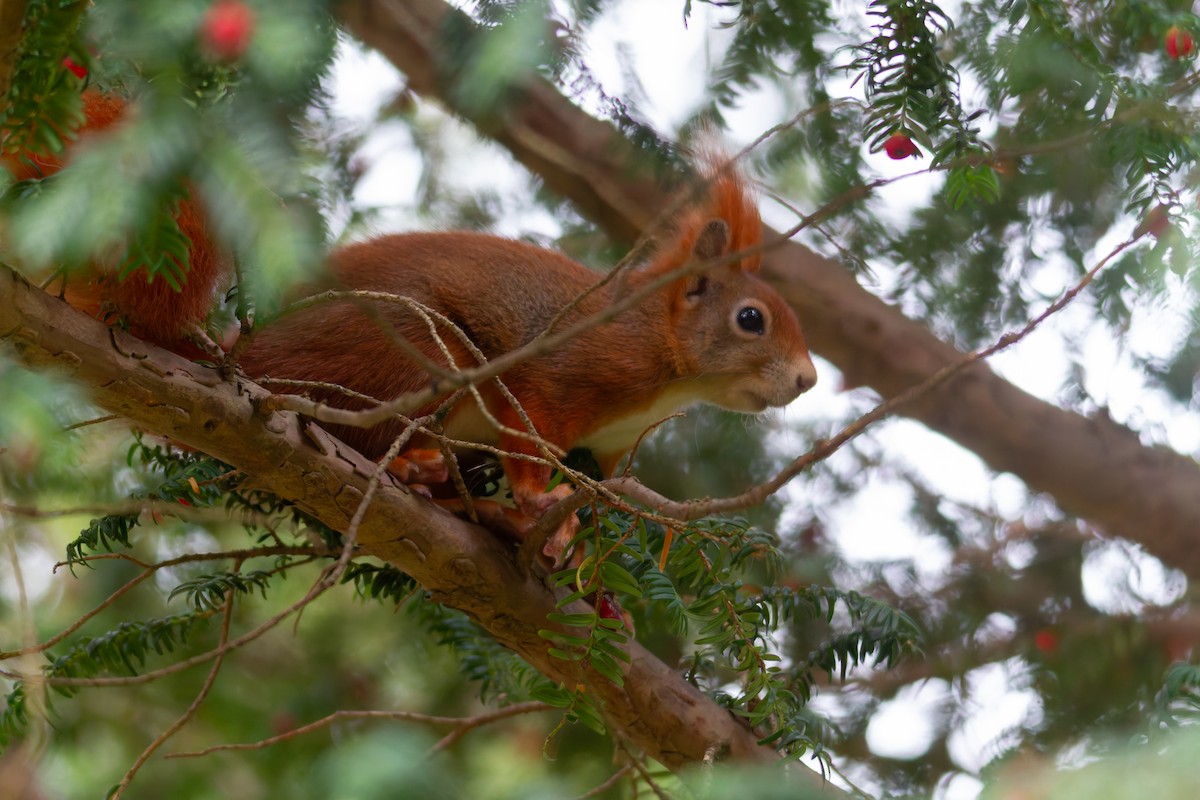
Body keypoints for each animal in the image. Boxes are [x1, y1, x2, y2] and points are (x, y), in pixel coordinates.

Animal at [239, 158, 817, 564]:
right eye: (751, 319)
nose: (808, 379)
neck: (660, 345)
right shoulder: (563, 377)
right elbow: (530, 432)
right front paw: (536, 501)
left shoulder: (608, 448)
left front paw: (570, 538)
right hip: (411, 352)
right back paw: (413, 468)